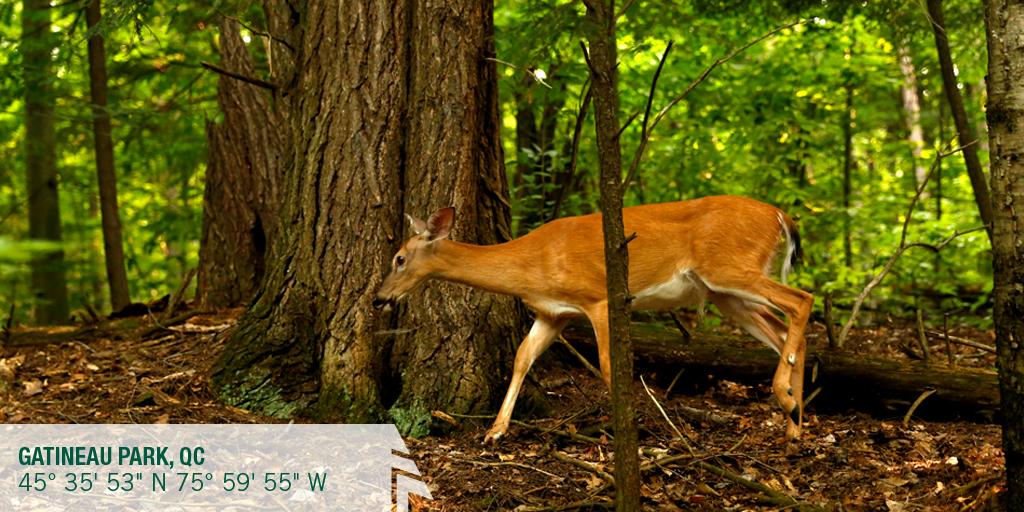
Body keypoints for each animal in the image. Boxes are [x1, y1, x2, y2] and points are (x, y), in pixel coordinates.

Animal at [373, 195, 813, 444]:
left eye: (399, 258)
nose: (378, 299)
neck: (532, 262)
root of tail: (779, 215)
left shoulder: (599, 297)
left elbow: (606, 366)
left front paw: (638, 433)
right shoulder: (552, 314)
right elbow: (521, 358)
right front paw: (494, 432)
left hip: (729, 266)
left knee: (801, 299)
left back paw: (786, 399)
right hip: (725, 293)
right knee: (785, 330)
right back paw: (794, 426)